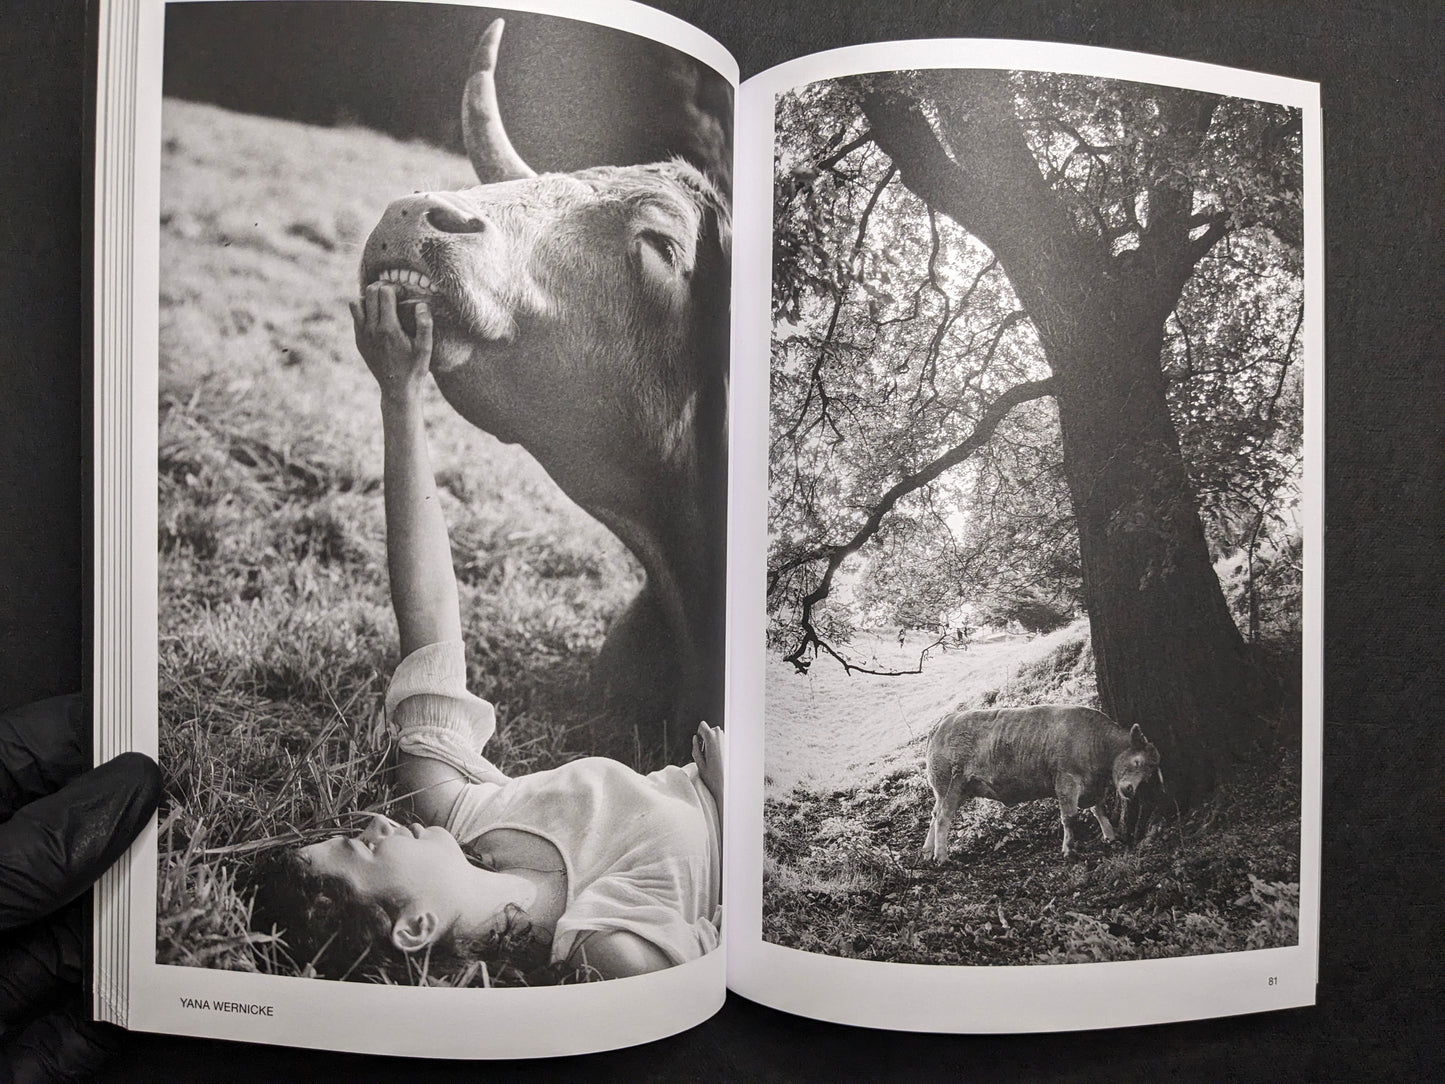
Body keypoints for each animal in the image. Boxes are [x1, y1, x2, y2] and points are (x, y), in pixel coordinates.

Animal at [921, 705, 1163, 862]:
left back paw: (927, 851)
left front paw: (1110, 837)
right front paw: (1069, 850)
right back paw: (942, 857)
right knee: (943, 818)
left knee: (934, 814)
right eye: (1137, 761)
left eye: (1151, 772)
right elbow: (1069, 817)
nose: (1130, 790)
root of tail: (944, 721)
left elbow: (1099, 810)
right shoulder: (1066, 780)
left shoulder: (1093, 786)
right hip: (950, 784)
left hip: (950, 789)